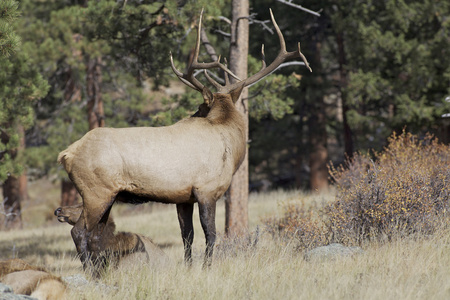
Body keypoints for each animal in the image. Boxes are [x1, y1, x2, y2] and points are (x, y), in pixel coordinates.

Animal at [58, 8, 312, 272]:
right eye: (202, 106)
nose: (193, 113)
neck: (231, 147)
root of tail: (66, 154)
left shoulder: (183, 197)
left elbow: (186, 235)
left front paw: (189, 267)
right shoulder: (206, 190)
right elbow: (210, 233)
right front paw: (207, 267)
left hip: (108, 195)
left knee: (95, 234)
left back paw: (101, 269)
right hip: (96, 191)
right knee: (79, 232)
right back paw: (90, 271)